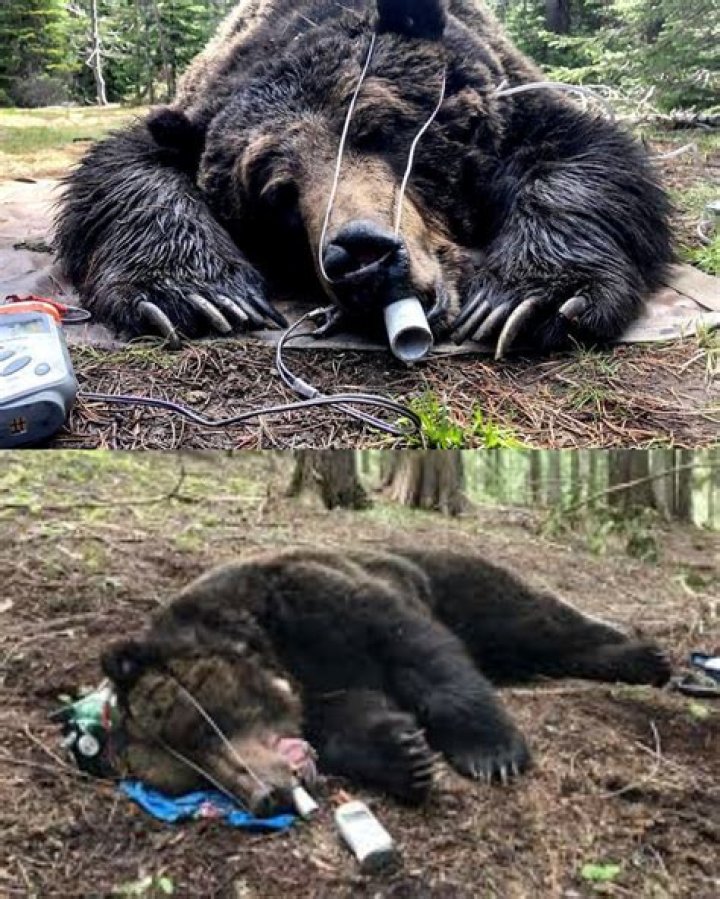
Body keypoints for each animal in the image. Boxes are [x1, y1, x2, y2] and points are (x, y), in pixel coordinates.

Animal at [54, 0, 672, 355]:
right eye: (276, 192)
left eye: (381, 128)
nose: (361, 253)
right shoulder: (191, 115)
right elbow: (124, 172)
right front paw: (201, 293)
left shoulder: (516, 106)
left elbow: (588, 158)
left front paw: (525, 300)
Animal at [101, 547, 672, 817]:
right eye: (190, 776)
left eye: (201, 730)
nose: (265, 796)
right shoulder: (320, 687)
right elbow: (352, 718)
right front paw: (405, 755)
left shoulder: (317, 602)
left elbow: (419, 651)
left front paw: (492, 754)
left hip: (459, 583)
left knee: (535, 623)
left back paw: (650, 658)